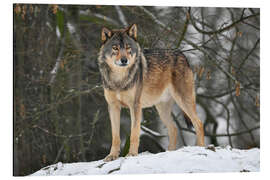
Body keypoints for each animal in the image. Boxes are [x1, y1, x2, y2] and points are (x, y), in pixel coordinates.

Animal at [97, 24, 205, 162]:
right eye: (115, 48)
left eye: (127, 47)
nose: (124, 60)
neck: (119, 80)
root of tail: (182, 54)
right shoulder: (113, 106)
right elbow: (115, 136)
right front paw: (112, 156)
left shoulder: (135, 106)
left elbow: (134, 132)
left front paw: (132, 154)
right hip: (162, 109)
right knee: (174, 129)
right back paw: (169, 152)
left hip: (183, 101)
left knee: (198, 123)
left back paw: (201, 148)